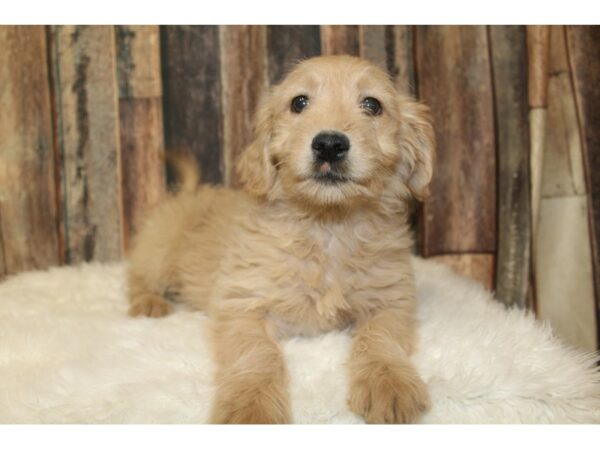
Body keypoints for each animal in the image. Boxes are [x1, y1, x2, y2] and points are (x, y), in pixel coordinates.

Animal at [129, 54, 434, 424]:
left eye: (372, 105)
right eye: (299, 103)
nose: (329, 144)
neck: (327, 225)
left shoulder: (390, 300)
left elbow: (381, 338)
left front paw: (388, 382)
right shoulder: (243, 305)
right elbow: (258, 354)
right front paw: (251, 407)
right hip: (159, 250)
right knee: (137, 274)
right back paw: (148, 303)